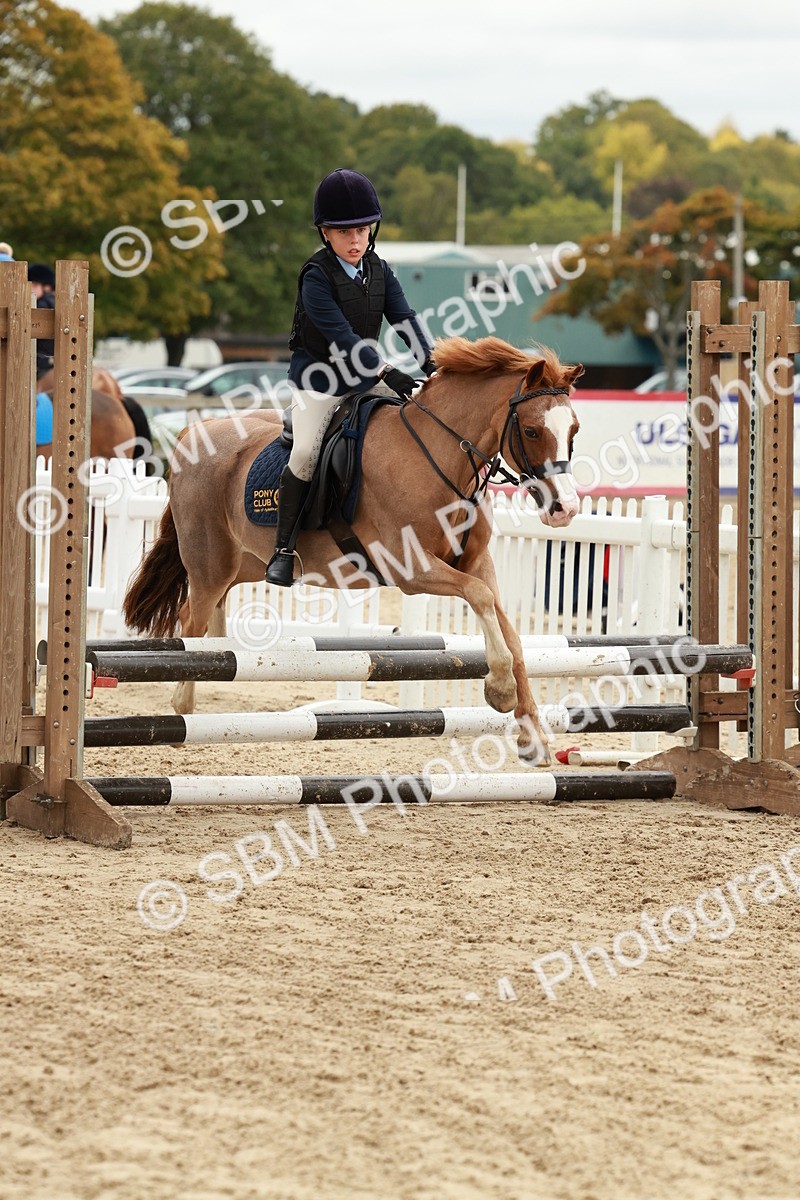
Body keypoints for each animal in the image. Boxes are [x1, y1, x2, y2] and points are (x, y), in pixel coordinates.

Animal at [122, 337, 583, 763]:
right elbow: (481, 598)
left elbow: (510, 633)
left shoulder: (476, 562)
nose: (566, 509)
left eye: (574, 430)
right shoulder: (412, 570)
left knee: (211, 622)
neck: (437, 457)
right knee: (191, 619)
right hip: (210, 564)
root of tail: (192, 434)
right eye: (531, 430)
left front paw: (532, 735)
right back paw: (184, 708)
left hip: (242, 565)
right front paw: (500, 690)